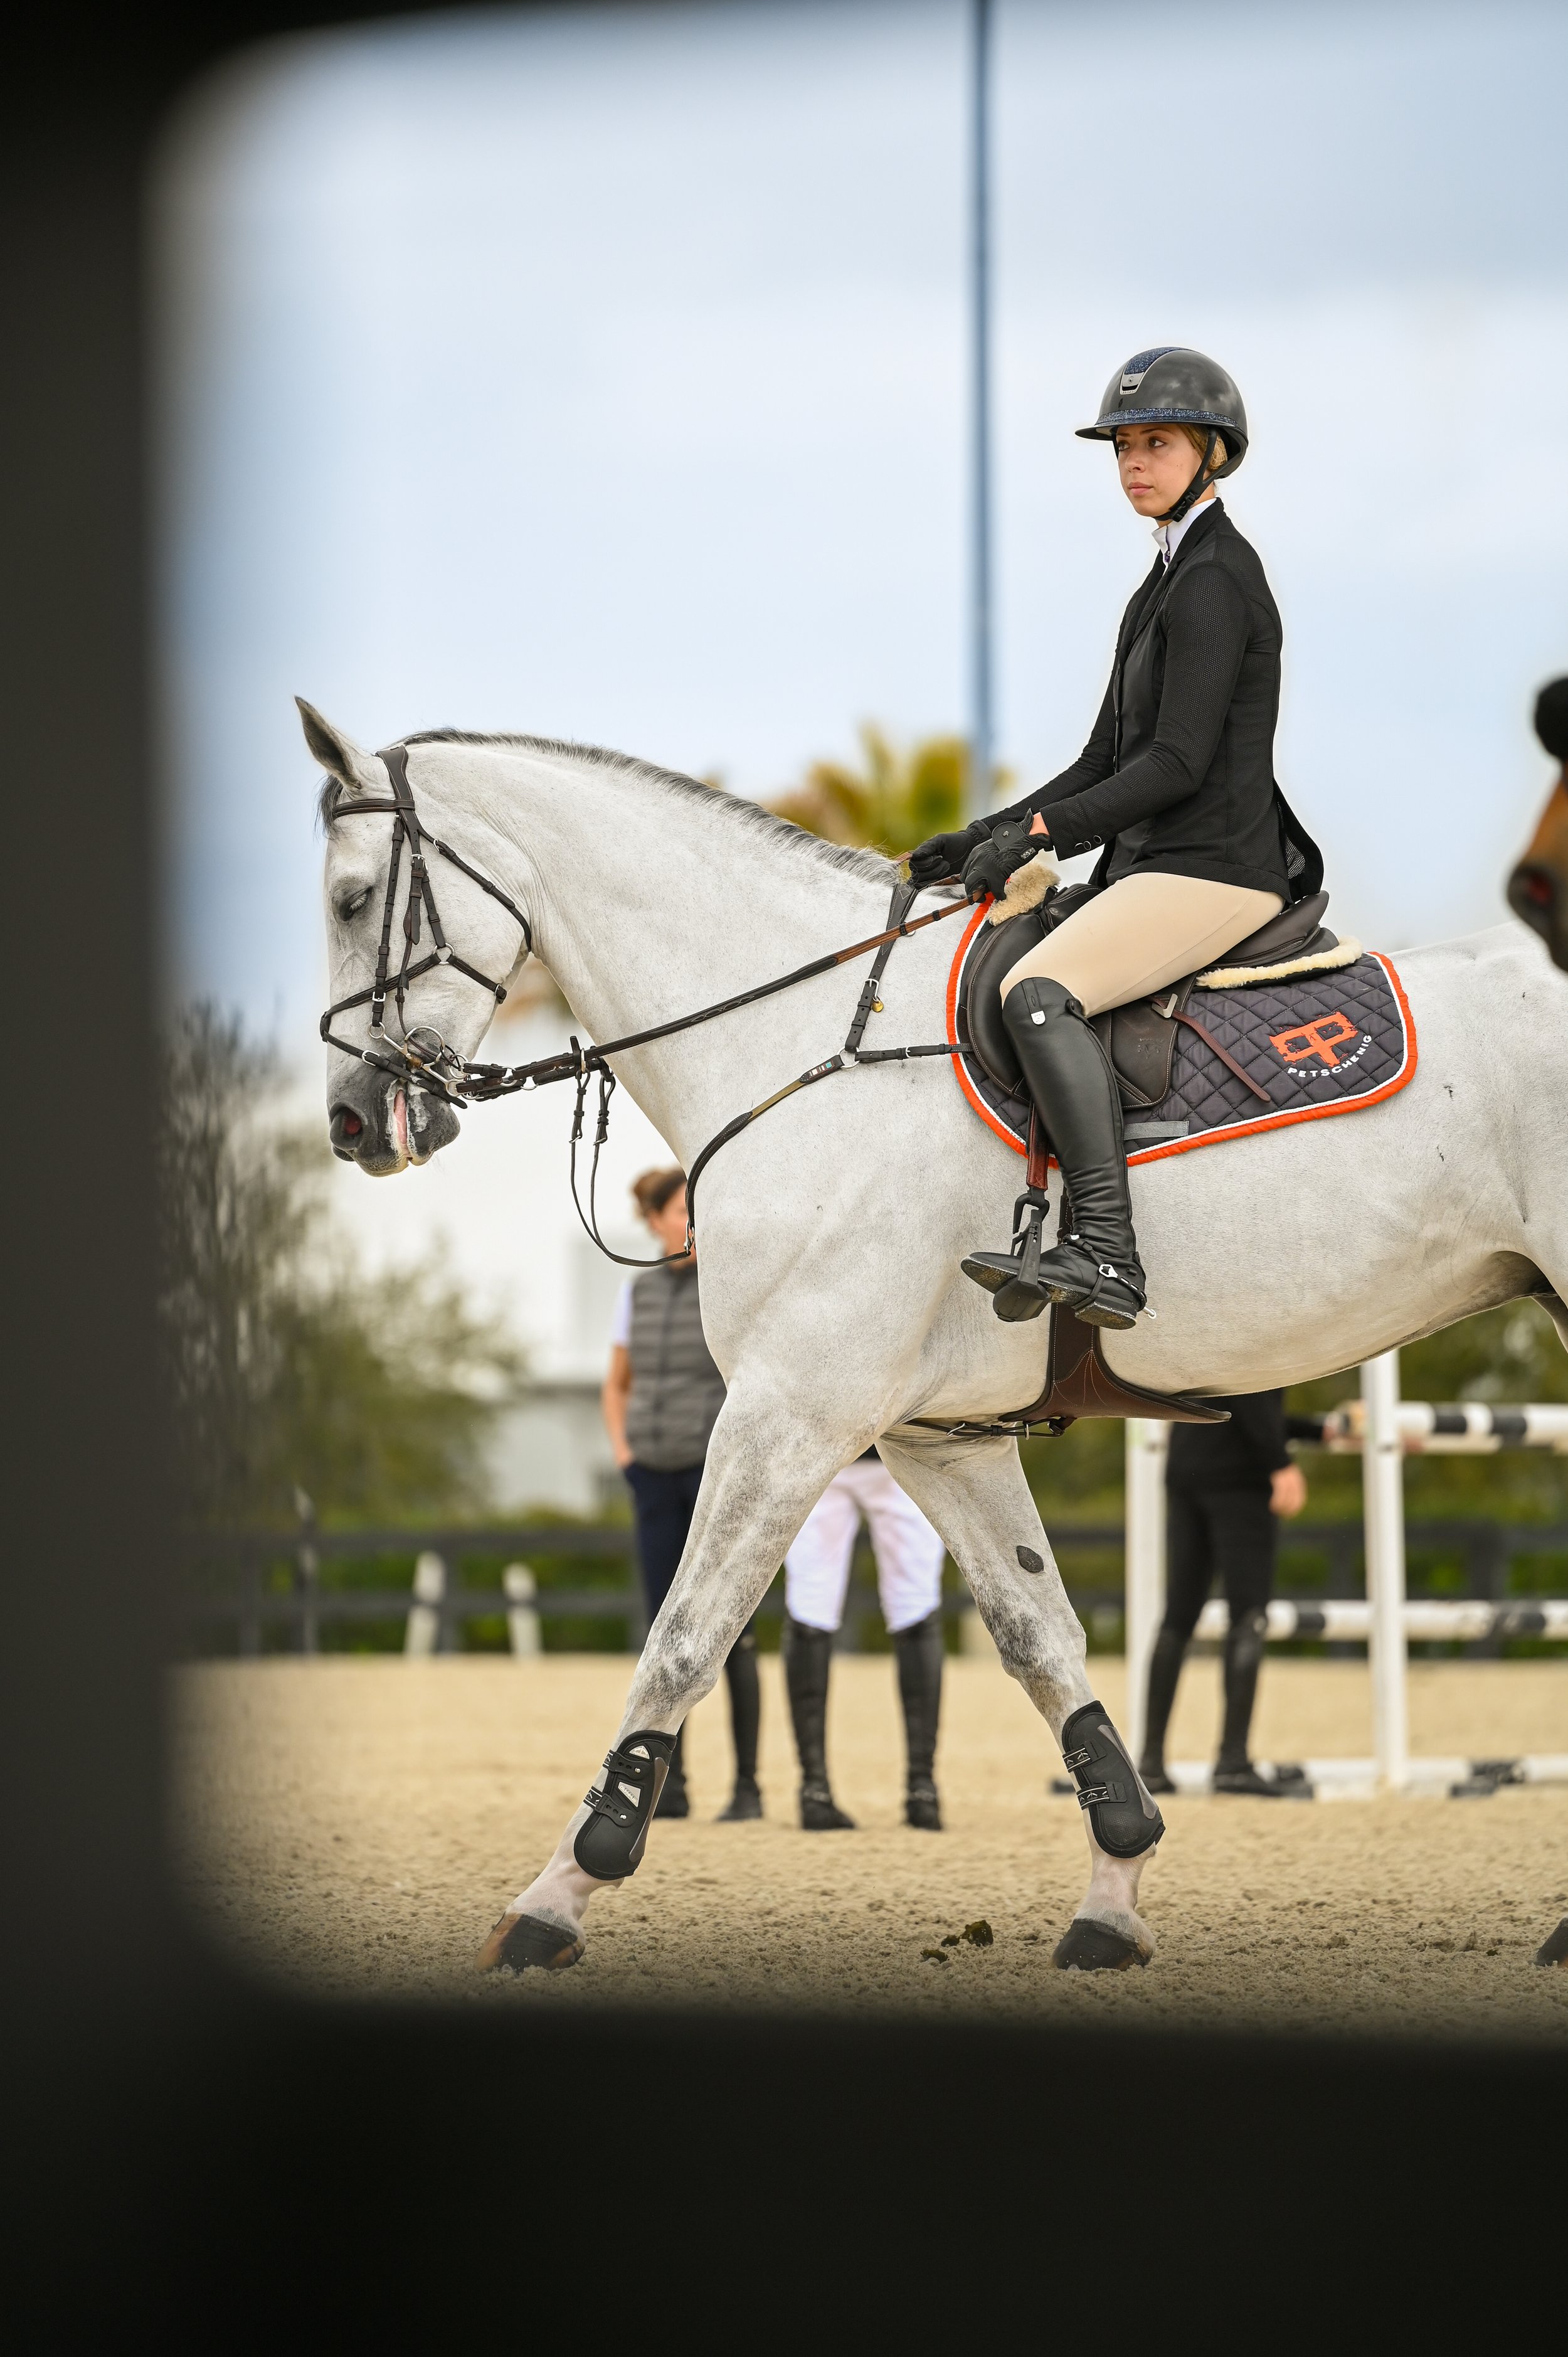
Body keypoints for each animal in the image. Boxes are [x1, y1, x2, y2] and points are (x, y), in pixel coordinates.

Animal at [306, 701, 1568, 1974]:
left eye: (354, 900)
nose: (354, 1123)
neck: (803, 1046)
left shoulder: (790, 1409)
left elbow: (684, 1639)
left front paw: (559, 1892)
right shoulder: (938, 1437)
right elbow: (1037, 1638)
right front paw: (1114, 1894)